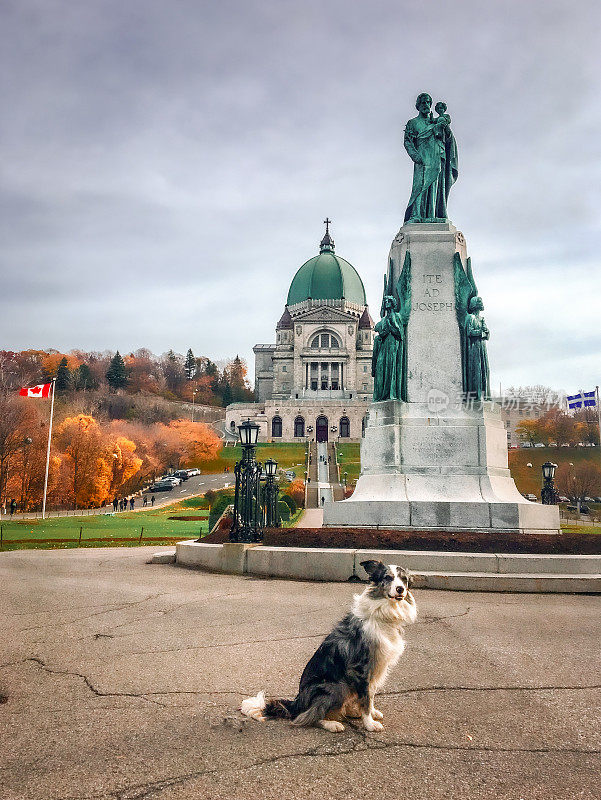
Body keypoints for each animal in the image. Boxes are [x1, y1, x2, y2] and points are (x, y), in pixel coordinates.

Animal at [241, 564, 414, 732]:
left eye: (404, 580)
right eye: (388, 577)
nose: (400, 589)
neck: (383, 612)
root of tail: (296, 703)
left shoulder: (376, 668)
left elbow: (370, 696)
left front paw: (372, 713)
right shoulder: (361, 668)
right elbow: (366, 698)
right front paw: (369, 724)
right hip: (337, 686)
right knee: (306, 717)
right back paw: (332, 724)